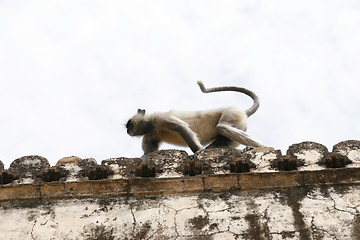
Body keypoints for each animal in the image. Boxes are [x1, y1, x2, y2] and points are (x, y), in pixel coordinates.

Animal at [126, 80, 264, 156]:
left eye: (129, 124)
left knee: (222, 127)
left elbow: (181, 127)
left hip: (232, 113)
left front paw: (197, 152)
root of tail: (244, 112)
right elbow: (148, 153)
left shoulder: (160, 118)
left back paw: (260, 146)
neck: (151, 125)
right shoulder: (149, 134)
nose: (128, 131)